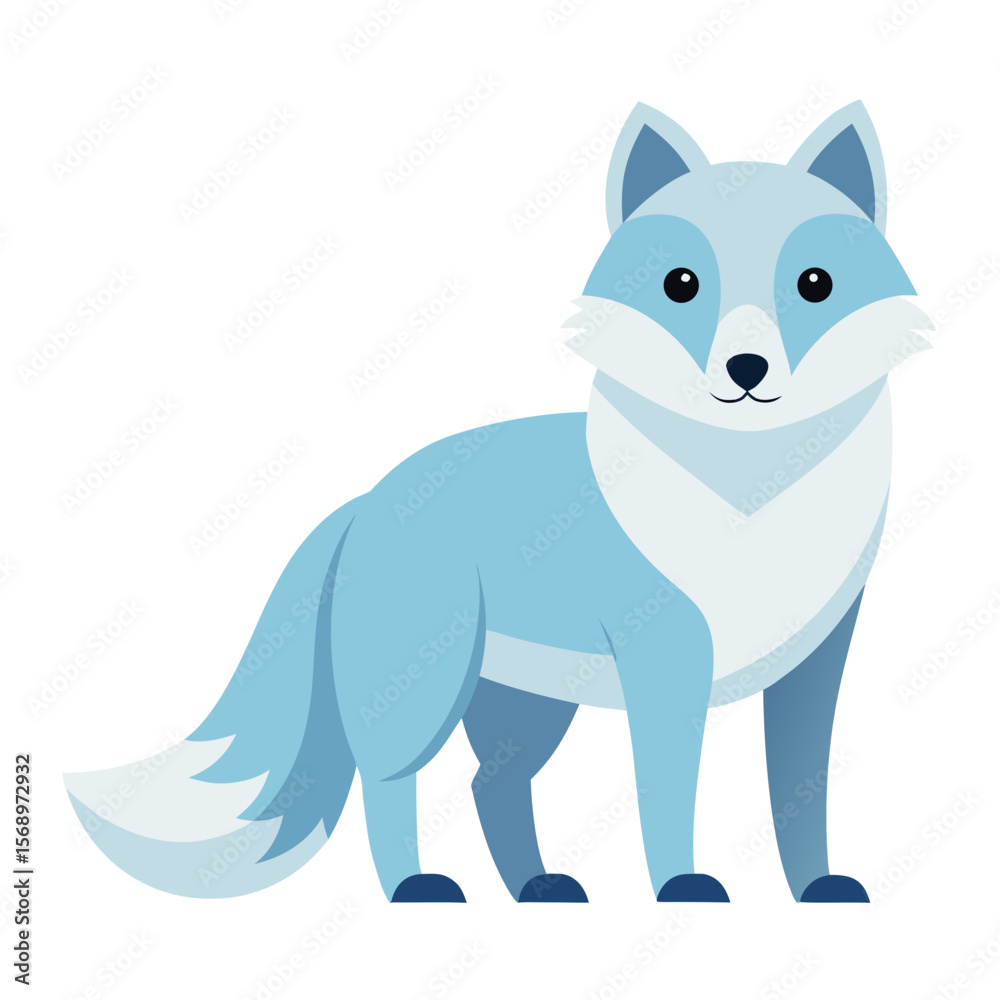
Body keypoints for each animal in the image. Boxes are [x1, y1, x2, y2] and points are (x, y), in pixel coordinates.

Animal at [66, 100, 932, 904]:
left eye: (815, 285)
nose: (746, 368)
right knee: (389, 781)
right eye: (680, 285)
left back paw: (536, 888)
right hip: (420, 689)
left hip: (527, 705)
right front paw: (683, 886)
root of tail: (368, 499)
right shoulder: (667, 656)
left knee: (494, 782)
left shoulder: (820, 661)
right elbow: (669, 793)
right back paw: (416, 889)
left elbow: (801, 790)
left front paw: (818, 888)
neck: (752, 496)